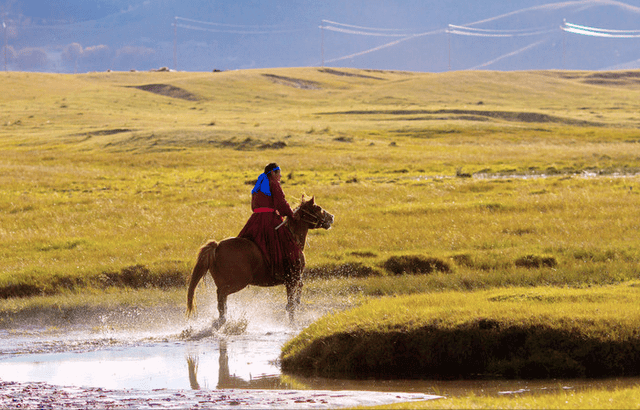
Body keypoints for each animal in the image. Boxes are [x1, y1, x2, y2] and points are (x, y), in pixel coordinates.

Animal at [186, 197, 332, 328]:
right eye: (318, 208)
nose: (331, 217)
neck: (293, 238)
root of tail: (216, 246)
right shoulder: (292, 280)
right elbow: (291, 304)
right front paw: (292, 323)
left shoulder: (293, 280)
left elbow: (294, 299)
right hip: (238, 282)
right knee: (221, 295)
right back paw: (222, 320)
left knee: (221, 300)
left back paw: (221, 320)